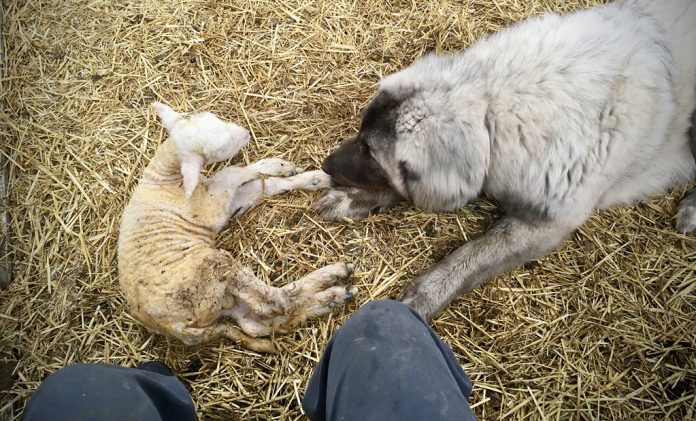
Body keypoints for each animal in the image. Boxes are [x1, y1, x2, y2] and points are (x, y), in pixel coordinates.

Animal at [117, 101, 356, 352]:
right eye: (222, 147)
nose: (245, 133)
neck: (164, 176)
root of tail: (175, 329)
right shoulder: (213, 207)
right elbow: (235, 172)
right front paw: (282, 167)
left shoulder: (226, 201)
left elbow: (263, 185)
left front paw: (306, 176)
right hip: (212, 272)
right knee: (274, 303)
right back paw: (336, 282)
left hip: (220, 300)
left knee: (258, 321)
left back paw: (332, 298)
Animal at [316, 0, 696, 320]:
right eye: (360, 137)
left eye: (370, 152)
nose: (325, 165)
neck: (493, 104)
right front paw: (352, 199)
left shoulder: (544, 224)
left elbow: (472, 254)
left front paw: (427, 292)